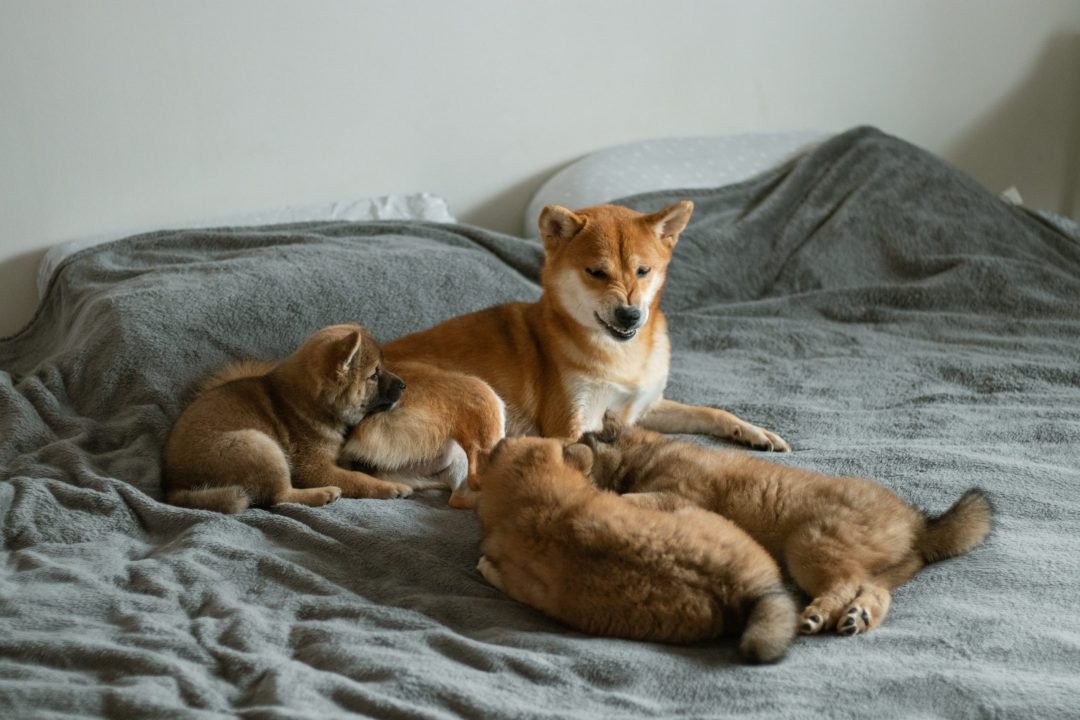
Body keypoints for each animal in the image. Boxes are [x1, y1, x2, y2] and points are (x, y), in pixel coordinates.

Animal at [343, 199, 786, 474]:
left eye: (643, 271)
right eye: (597, 272)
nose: (630, 313)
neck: (622, 356)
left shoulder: (642, 406)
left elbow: (710, 413)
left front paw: (754, 432)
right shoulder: (573, 421)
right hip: (481, 393)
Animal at [578, 416, 989, 634]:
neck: (647, 454)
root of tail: (917, 524)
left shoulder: (677, 495)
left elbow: (631, 499)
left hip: (809, 545)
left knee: (843, 584)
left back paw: (818, 615)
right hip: (879, 570)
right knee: (873, 592)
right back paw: (857, 617)